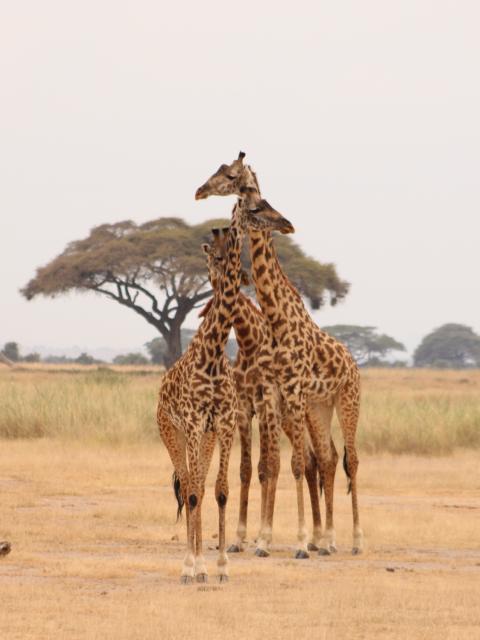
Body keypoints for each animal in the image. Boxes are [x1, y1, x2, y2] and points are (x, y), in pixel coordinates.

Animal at [157, 190, 294, 583]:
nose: (287, 224)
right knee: (188, 485)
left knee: (199, 487)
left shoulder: (225, 422)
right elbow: (192, 492)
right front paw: (195, 566)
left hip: (207, 435)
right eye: (256, 207)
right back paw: (189, 565)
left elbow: (219, 491)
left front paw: (219, 567)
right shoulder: (192, 422)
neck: (215, 351)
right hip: (172, 432)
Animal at [199, 228, 323, 555]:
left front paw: (262, 537)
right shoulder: (245, 407)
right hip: (286, 418)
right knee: (308, 461)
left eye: (226, 256)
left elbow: (269, 466)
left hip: (299, 414)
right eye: (209, 256)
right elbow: (248, 469)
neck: (248, 341)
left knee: (315, 460)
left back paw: (317, 538)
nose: (218, 280)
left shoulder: (265, 403)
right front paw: (240, 538)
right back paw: (314, 538)